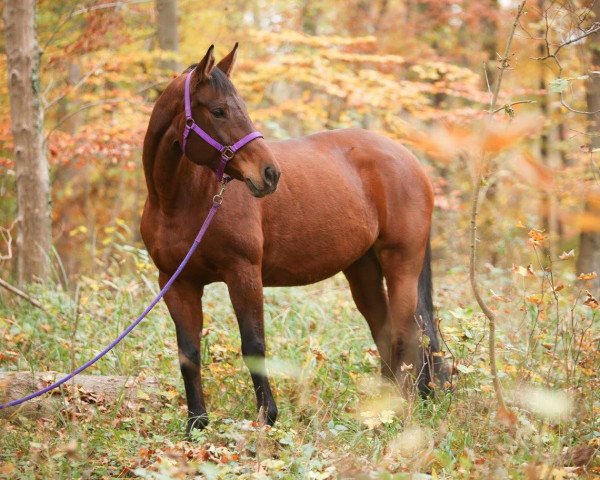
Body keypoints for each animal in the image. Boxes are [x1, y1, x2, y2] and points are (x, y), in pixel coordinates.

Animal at [141, 46, 446, 436]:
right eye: (219, 110)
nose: (269, 174)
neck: (180, 201)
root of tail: (410, 161)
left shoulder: (243, 274)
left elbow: (253, 345)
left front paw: (266, 417)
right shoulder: (177, 283)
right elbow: (189, 354)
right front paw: (197, 424)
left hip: (401, 264)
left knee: (407, 334)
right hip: (363, 269)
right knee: (385, 331)